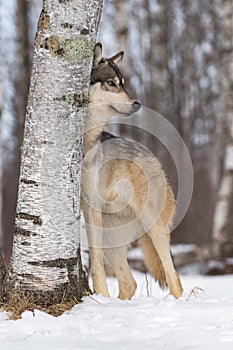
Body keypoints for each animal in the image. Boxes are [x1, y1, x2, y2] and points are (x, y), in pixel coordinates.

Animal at [81, 43, 183, 300]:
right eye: (111, 83)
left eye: (123, 83)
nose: (137, 103)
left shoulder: (90, 208)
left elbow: (95, 264)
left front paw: (100, 295)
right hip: (112, 236)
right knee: (130, 283)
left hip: (153, 228)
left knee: (174, 278)